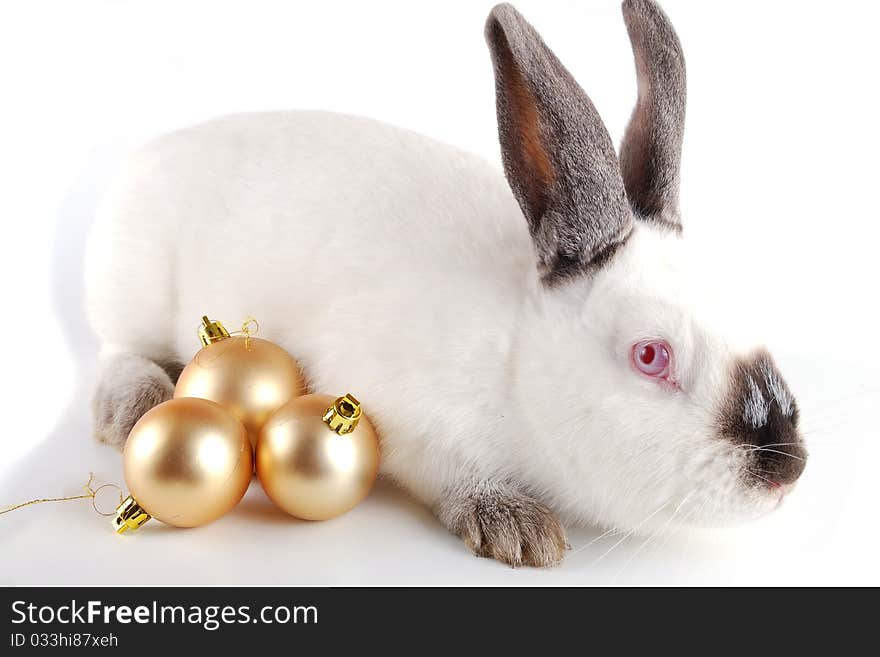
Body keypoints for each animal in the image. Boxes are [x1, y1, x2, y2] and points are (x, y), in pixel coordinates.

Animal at [86, 0, 808, 564]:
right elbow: (449, 470)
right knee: (119, 349)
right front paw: (517, 527)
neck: (519, 354)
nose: (787, 468)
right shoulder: (397, 408)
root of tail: (149, 154)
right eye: (651, 356)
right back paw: (132, 407)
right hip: (133, 290)